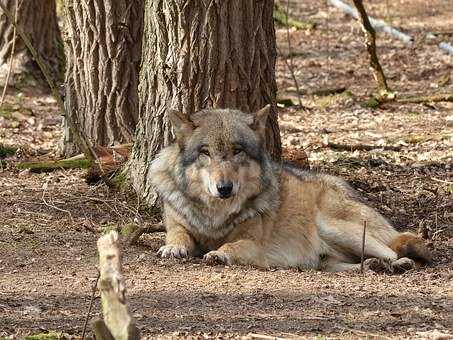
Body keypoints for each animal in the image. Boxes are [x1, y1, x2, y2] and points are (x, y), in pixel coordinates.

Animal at [149, 105, 430, 272]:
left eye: (237, 151)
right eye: (205, 152)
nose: (224, 188)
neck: (215, 217)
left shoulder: (254, 245)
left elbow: (232, 246)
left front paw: (218, 254)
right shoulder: (177, 225)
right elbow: (178, 237)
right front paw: (173, 249)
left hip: (333, 227)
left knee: (395, 251)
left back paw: (398, 264)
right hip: (326, 260)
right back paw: (373, 265)